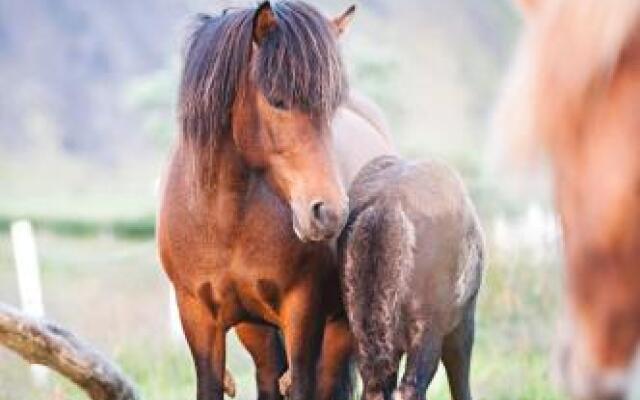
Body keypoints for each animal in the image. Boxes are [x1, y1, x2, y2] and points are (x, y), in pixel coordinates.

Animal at [158, 2, 392, 400]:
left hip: (342, 327)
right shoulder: (198, 316)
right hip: (256, 328)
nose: (329, 213)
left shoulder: (302, 312)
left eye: (331, 108)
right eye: (277, 101)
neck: (226, 218)